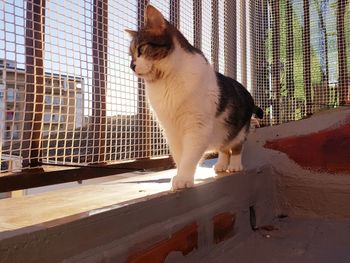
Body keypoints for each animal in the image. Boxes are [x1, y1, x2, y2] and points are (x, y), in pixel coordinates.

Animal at [126, 5, 262, 191]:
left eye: (140, 49)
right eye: (131, 54)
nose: (131, 65)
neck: (166, 80)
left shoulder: (197, 127)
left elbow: (189, 156)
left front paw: (183, 178)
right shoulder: (171, 130)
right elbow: (179, 155)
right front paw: (180, 175)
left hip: (238, 129)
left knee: (235, 147)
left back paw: (234, 165)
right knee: (223, 149)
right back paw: (221, 165)